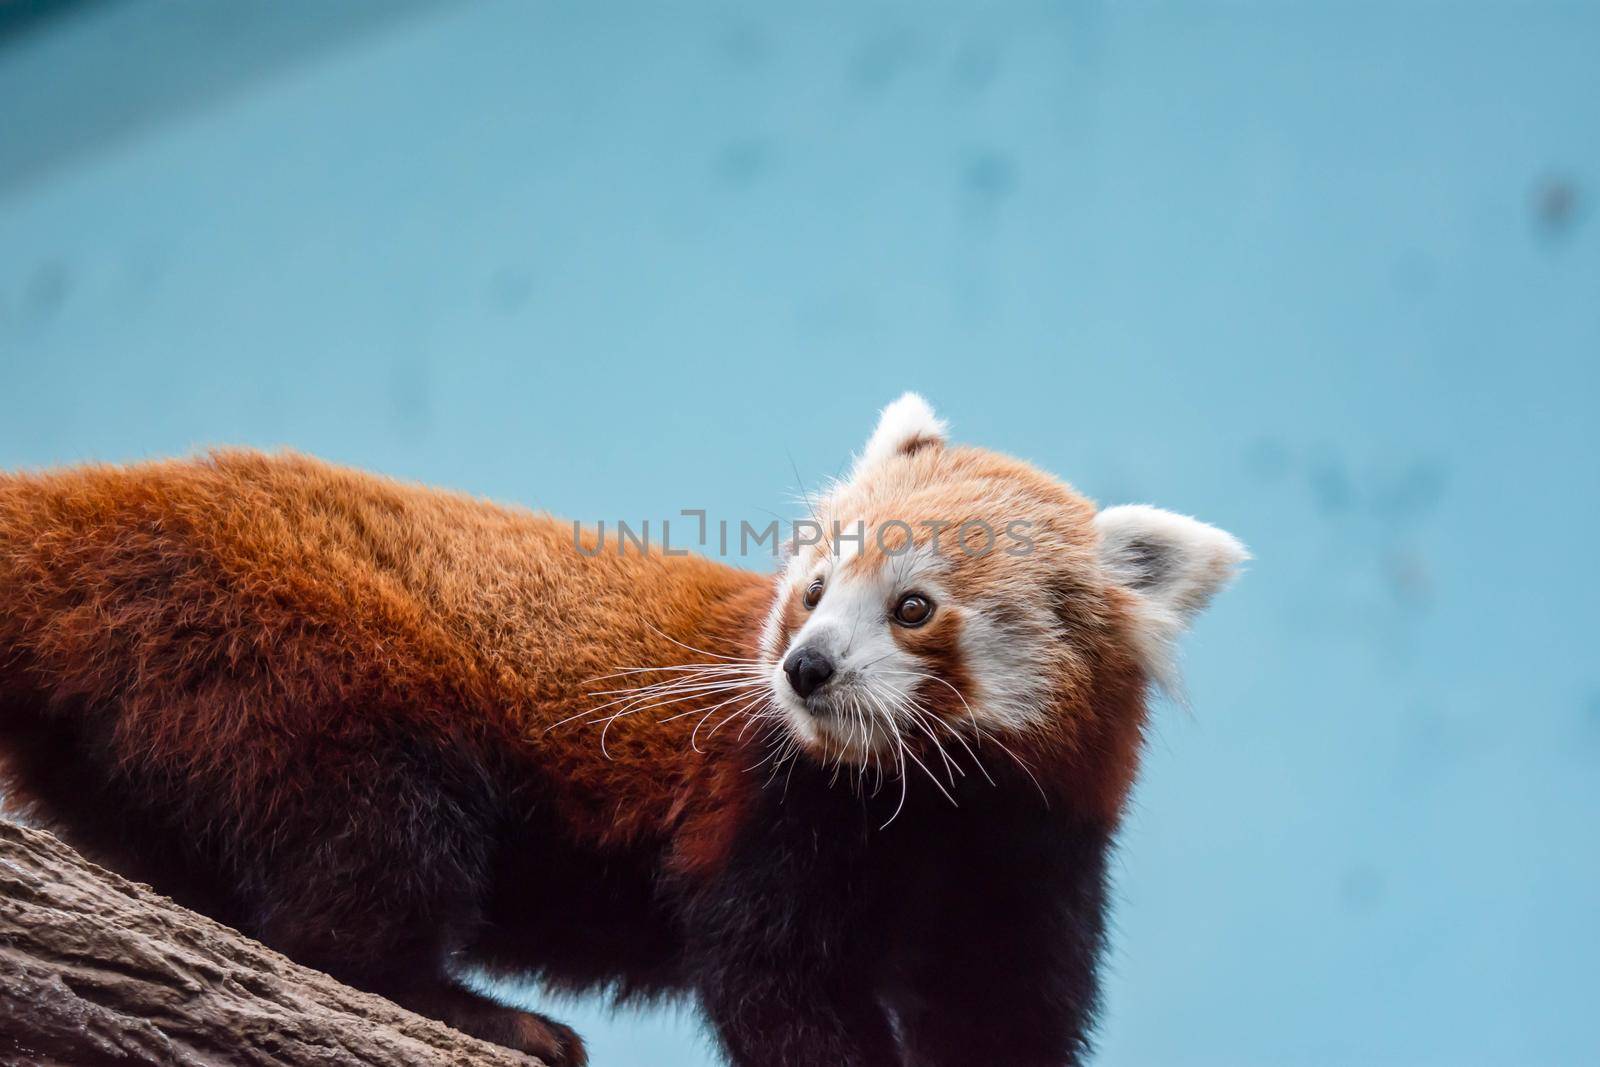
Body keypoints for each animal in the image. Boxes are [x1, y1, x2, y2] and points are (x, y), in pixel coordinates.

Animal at [0, 396, 1248, 1062]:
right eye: (811, 588)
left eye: (911, 607)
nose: (802, 667)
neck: (928, 802)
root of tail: (104, 496)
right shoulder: (772, 808)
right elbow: (774, 979)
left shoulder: (1035, 848)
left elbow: (1005, 1005)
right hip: (296, 652)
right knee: (363, 865)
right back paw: (474, 1010)